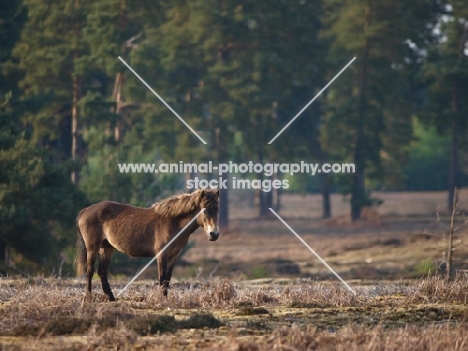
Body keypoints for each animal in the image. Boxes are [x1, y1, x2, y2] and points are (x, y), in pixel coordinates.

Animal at [74, 188, 220, 302]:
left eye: (218, 209)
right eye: (204, 210)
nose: (214, 234)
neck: (174, 222)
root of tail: (86, 210)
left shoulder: (173, 256)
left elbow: (167, 279)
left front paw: (165, 299)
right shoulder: (162, 254)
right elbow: (162, 278)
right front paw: (161, 300)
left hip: (107, 248)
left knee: (102, 272)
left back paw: (111, 298)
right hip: (92, 247)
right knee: (90, 271)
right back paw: (89, 298)